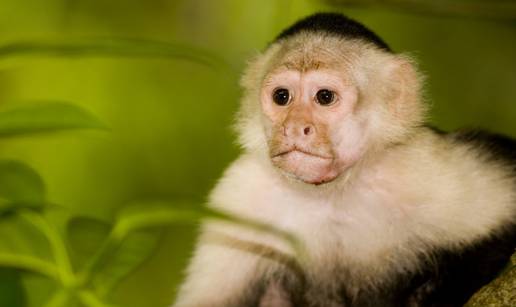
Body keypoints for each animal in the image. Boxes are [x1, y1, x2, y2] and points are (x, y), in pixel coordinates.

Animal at [173, 12, 516, 307]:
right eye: (282, 97)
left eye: (324, 97)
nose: (294, 127)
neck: (332, 194)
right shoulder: (238, 192)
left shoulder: (419, 162)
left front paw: (437, 292)